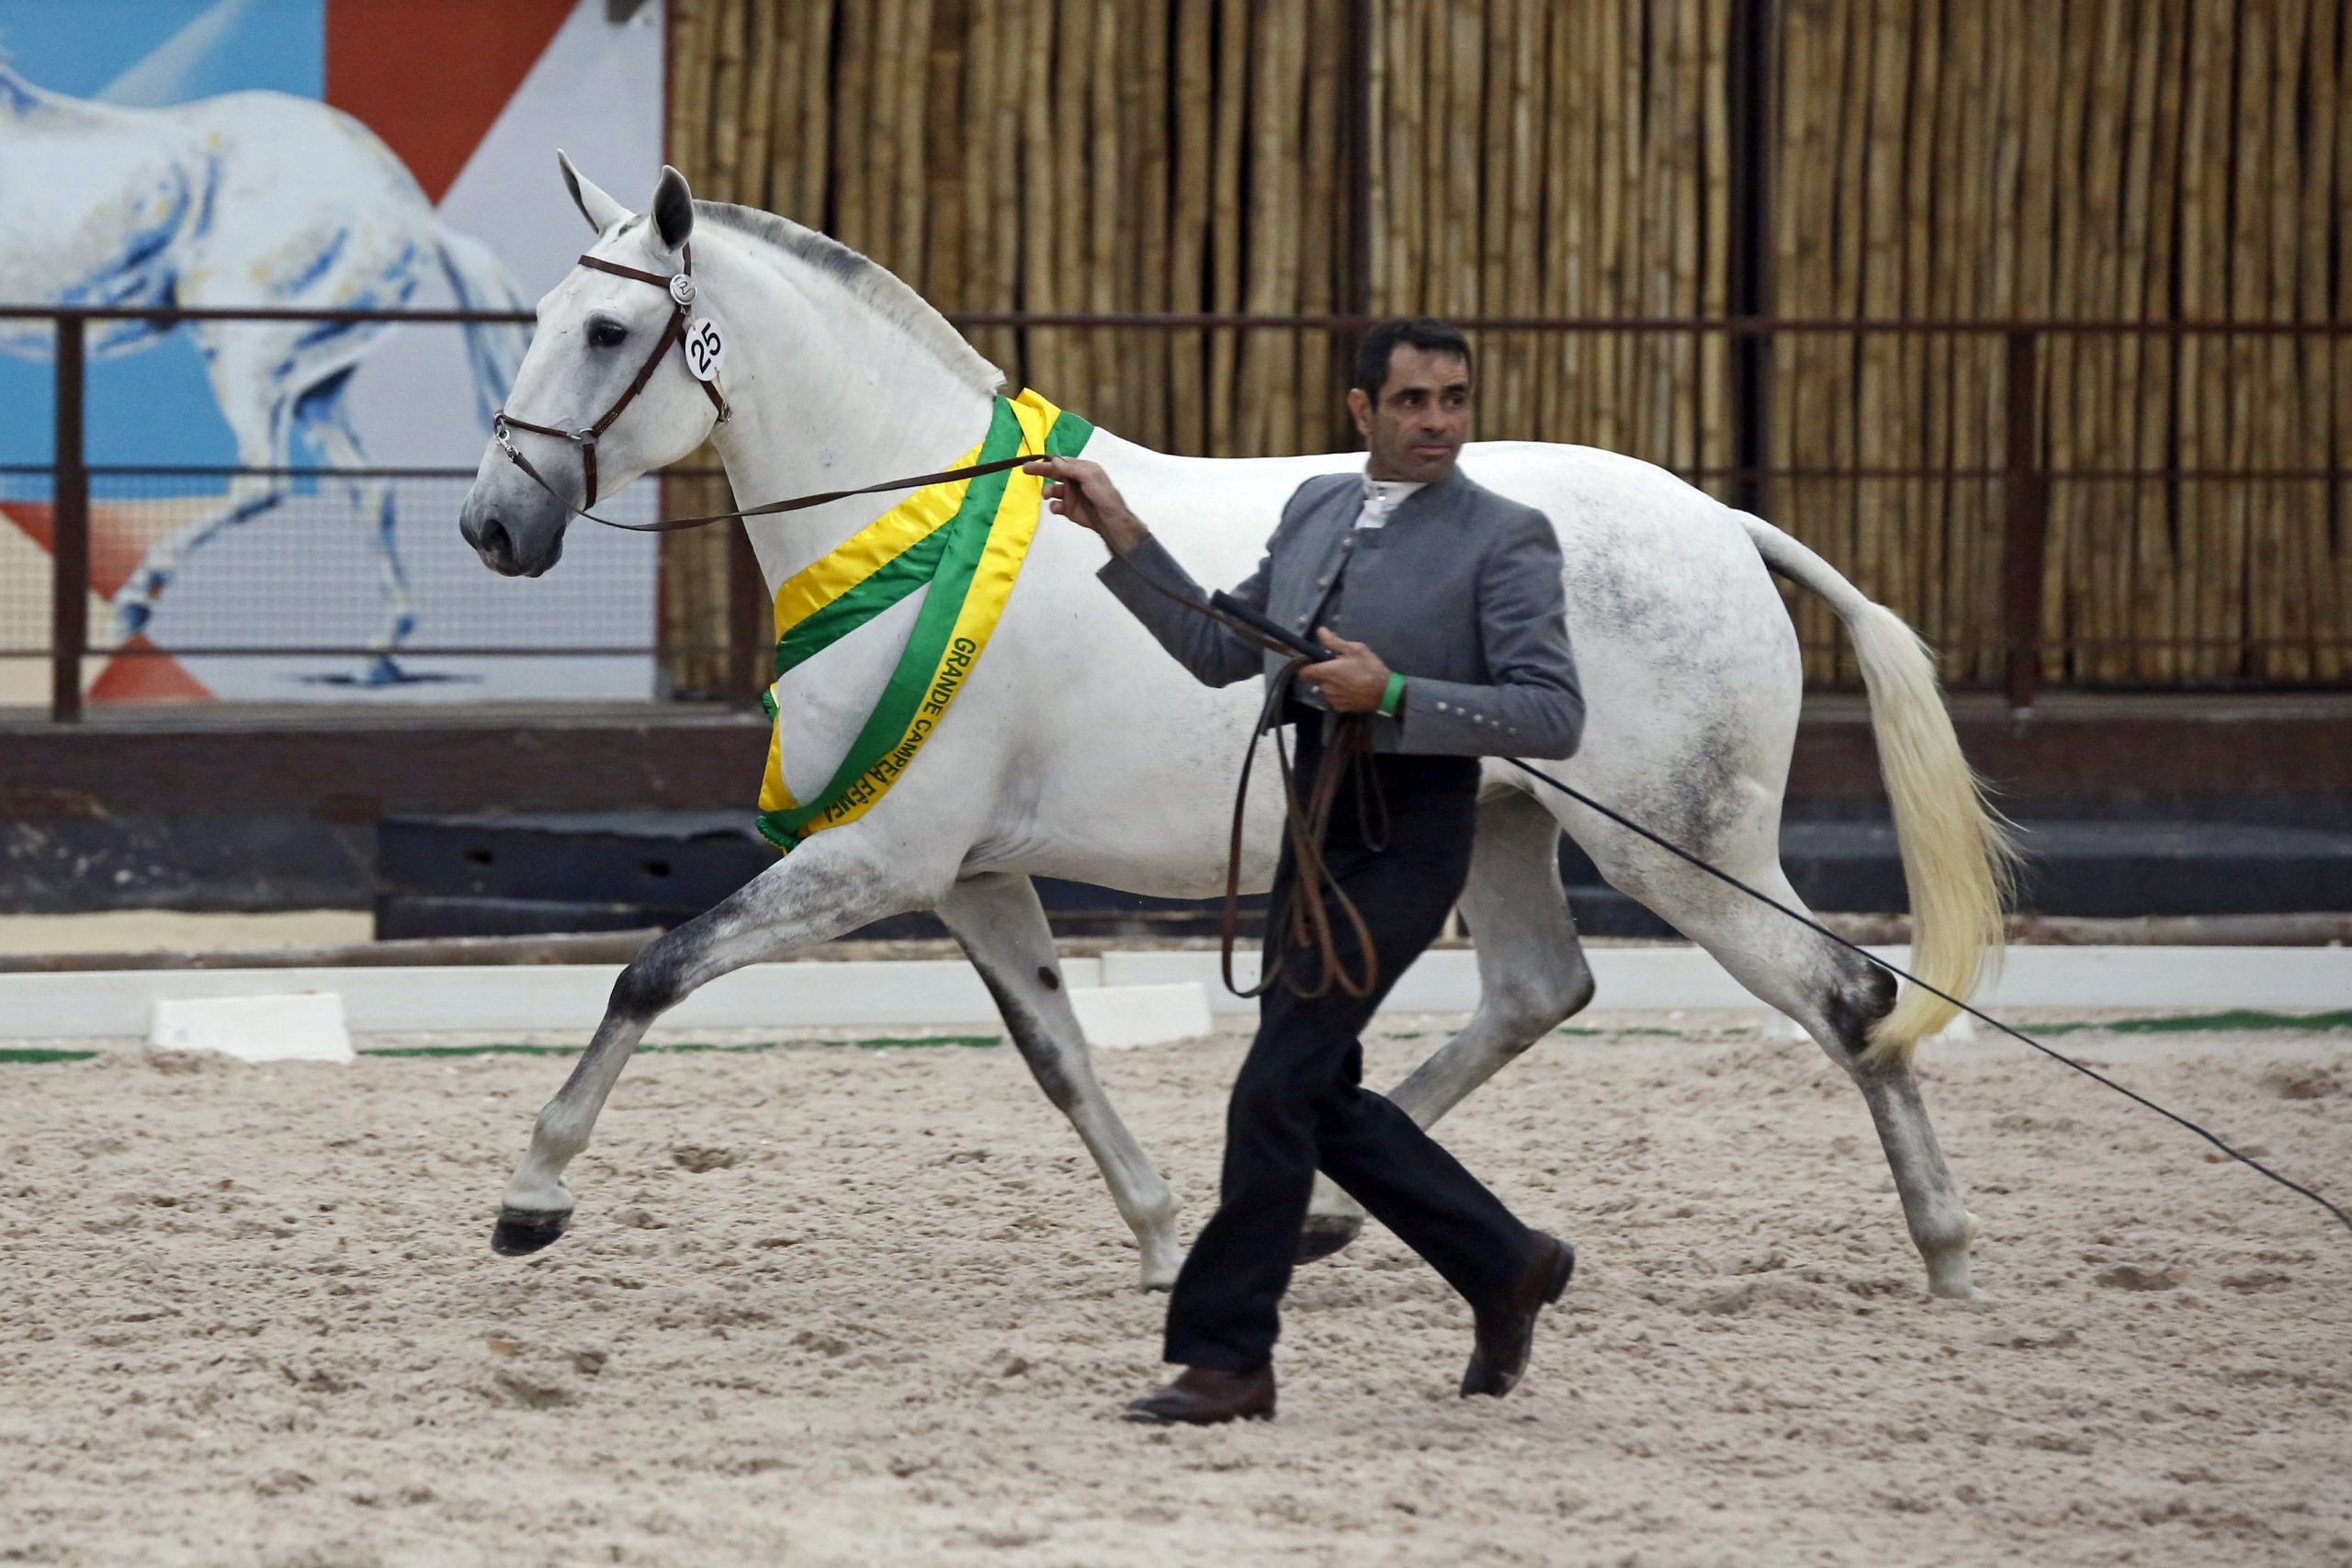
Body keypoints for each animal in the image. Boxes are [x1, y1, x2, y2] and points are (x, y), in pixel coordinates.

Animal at [0, 61, 524, 682]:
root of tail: (408, 209)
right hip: (316, 388)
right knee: (370, 487)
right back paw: (379, 652)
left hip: (247, 354)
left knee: (262, 480)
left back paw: (133, 602)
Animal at [463, 165, 2022, 1306]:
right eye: (546, 315)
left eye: (605, 332)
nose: (495, 524)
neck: (913, 510)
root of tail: (1725, 519)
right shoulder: (971, 873)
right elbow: (1059, 1052)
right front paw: (1163, 1235)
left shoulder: (877, 858)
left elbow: (653, 970)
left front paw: (533, 1195)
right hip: (1507, 822)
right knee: (1539, 989)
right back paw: (1323, 1212)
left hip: (1683, 849)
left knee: (1848, 999)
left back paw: (1948, 1256)